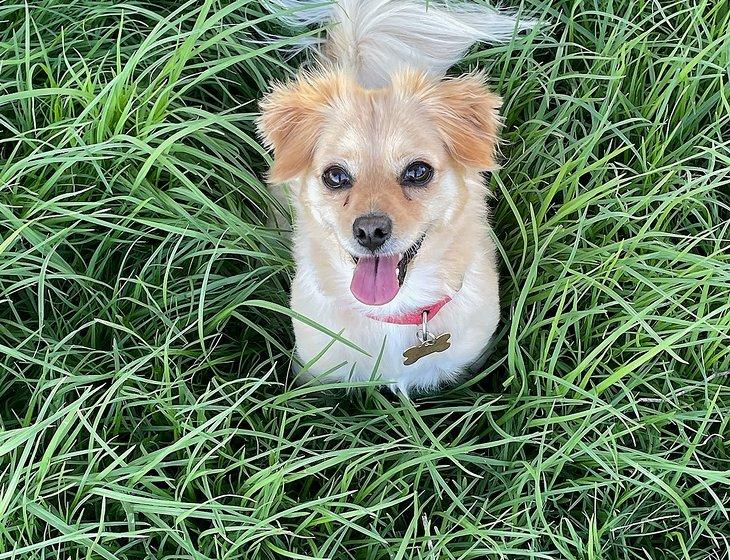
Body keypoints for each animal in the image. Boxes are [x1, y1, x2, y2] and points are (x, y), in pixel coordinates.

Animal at [258, 0, 532, 394]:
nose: (370, 231)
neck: (392, 313)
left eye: (417, 172)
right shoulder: (313, 376)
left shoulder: (469, 367)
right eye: (335, 176)